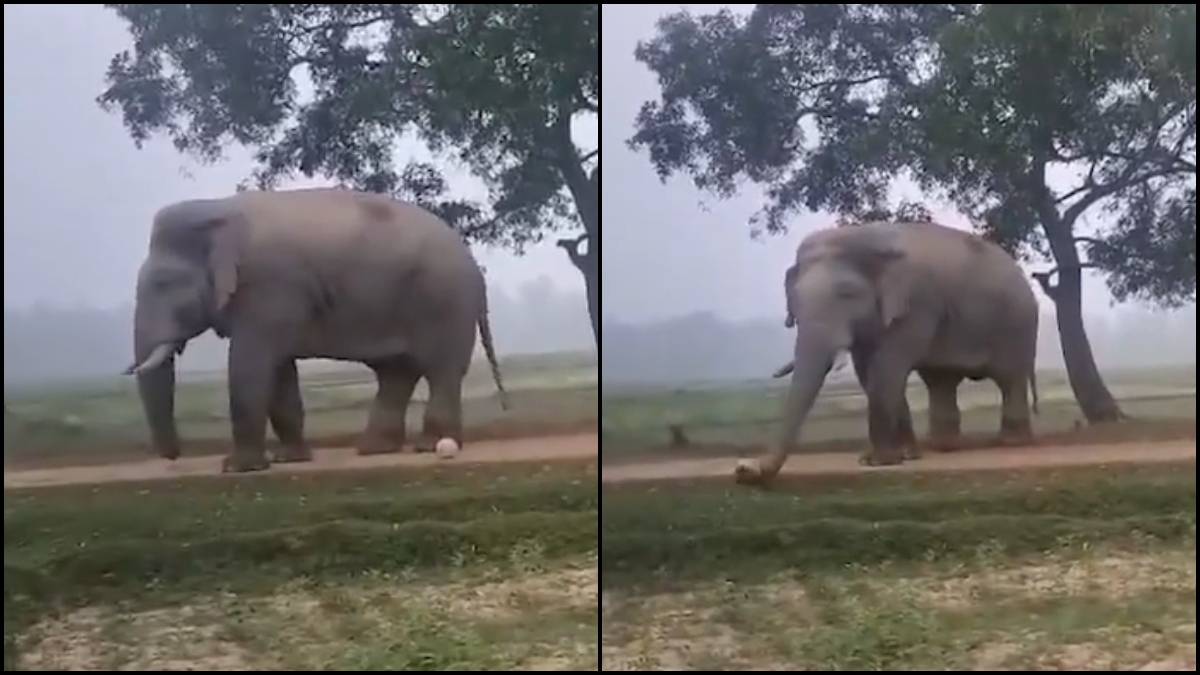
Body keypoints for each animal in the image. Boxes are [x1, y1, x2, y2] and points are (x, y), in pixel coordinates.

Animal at [124, 184, 508, 473]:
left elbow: (250, 364)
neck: (218, 209)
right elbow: (279, 371)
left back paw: (428, 446)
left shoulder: (269, 286)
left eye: (163, 283)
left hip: (444, 301)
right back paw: (375, 448)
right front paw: (289, 460)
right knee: (397, 373)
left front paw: (238, 467)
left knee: (440, 370)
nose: (174, 455)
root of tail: (474, 266)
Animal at [734, 220, 1036, 482]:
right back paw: (941, 446)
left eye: (847, 293)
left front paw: (876, 462)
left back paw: (1010, 441)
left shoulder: (916, 304)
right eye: (794, 298)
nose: (743, 468)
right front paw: (906, 456)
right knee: (940, 381)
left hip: (1016, 325)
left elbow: (887, 366)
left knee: (1009, 377)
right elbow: (868, 372)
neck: (866, 236)